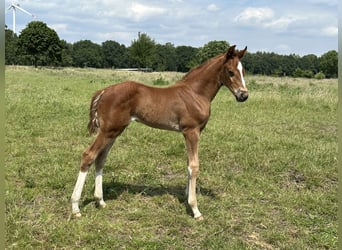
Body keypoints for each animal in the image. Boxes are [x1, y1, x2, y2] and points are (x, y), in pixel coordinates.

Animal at [71, 45, 248, 219]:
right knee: (88, 155)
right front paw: (195, 209)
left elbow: (188, 164)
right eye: (230, 71)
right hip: (108, 130)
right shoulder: (192, 131)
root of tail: (103, 91)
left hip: (114, 131)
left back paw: (100, 201)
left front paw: (186, 195)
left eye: (243, 71)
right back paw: (75, 207)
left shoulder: (189, 133)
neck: (195, 93)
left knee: (101, 158)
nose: (243, 95)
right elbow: (194, 166)